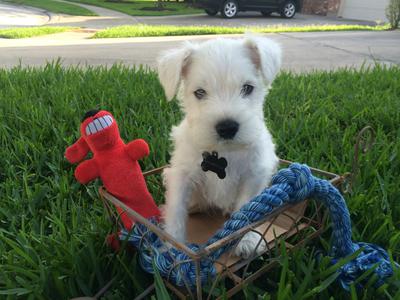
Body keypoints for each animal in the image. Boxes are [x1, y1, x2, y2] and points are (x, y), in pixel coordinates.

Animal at [158, 35, 280, 258]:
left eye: (247, 88)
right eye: (199, 92)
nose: (227, 127)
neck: (225, 151)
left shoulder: (253, 175)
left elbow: (247, 210)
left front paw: (246, 241)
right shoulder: (181, 175)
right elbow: (176, 211)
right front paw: (173, 248)